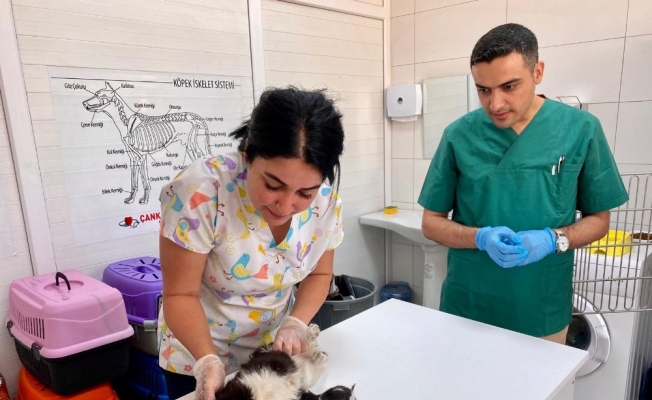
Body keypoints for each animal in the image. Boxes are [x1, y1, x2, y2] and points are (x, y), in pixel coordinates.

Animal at [215, 324, 355, 400]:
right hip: (307, 377)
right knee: (314, 359)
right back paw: (318, 355)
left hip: (278, 351)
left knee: (308, 346)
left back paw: (312, 333)